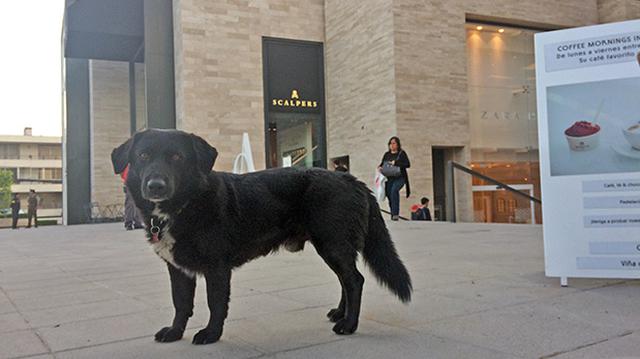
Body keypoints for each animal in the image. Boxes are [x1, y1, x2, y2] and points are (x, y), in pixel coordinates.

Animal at [110, 129, 412, 346]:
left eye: (177, 158)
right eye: (143, 156)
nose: (155, 186)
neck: (184, 205)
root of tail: (351, 180)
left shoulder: (217, 268)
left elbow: (215, 303)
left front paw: (211, 334)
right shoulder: (178, 269)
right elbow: (181, 303)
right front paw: (174, 332)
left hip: (332, 243)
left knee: (354, 281)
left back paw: (349, 325)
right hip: (332, 246)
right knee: (345, 280)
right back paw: (340, 313)